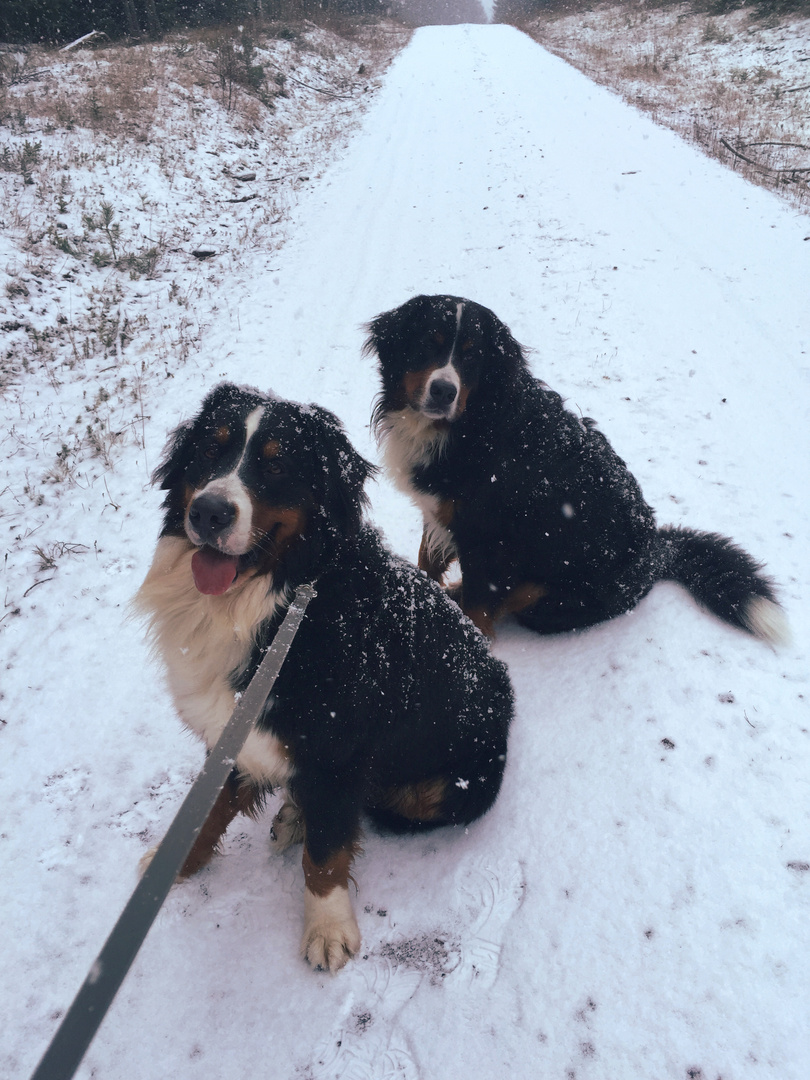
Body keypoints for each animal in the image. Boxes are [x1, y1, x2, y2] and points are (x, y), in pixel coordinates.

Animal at [367, 295, 786, 639]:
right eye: (428, 343)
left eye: (473, 356)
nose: (443, 391)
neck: (474, 424)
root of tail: (657, 552)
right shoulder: (441, 513)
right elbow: (427, 562)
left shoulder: (490, 542)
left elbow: (479, 609)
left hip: (552, 591)